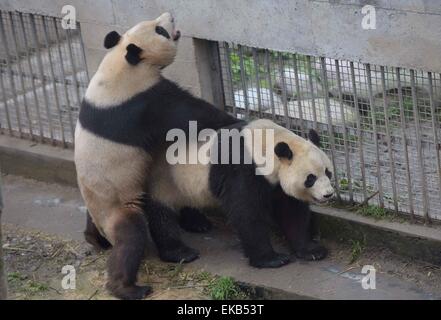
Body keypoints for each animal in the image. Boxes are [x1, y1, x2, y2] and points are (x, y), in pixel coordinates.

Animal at [146, 119, 332, 272]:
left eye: (328, 172)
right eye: (311, 178)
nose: (328, 194)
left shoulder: (277, 183)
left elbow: (292, 212)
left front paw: (311, 250)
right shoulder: (241, 170)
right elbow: (246, 212)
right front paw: (271, 259)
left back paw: (197, 223)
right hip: (162, 181)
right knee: (161, 215)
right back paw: (181, 253)